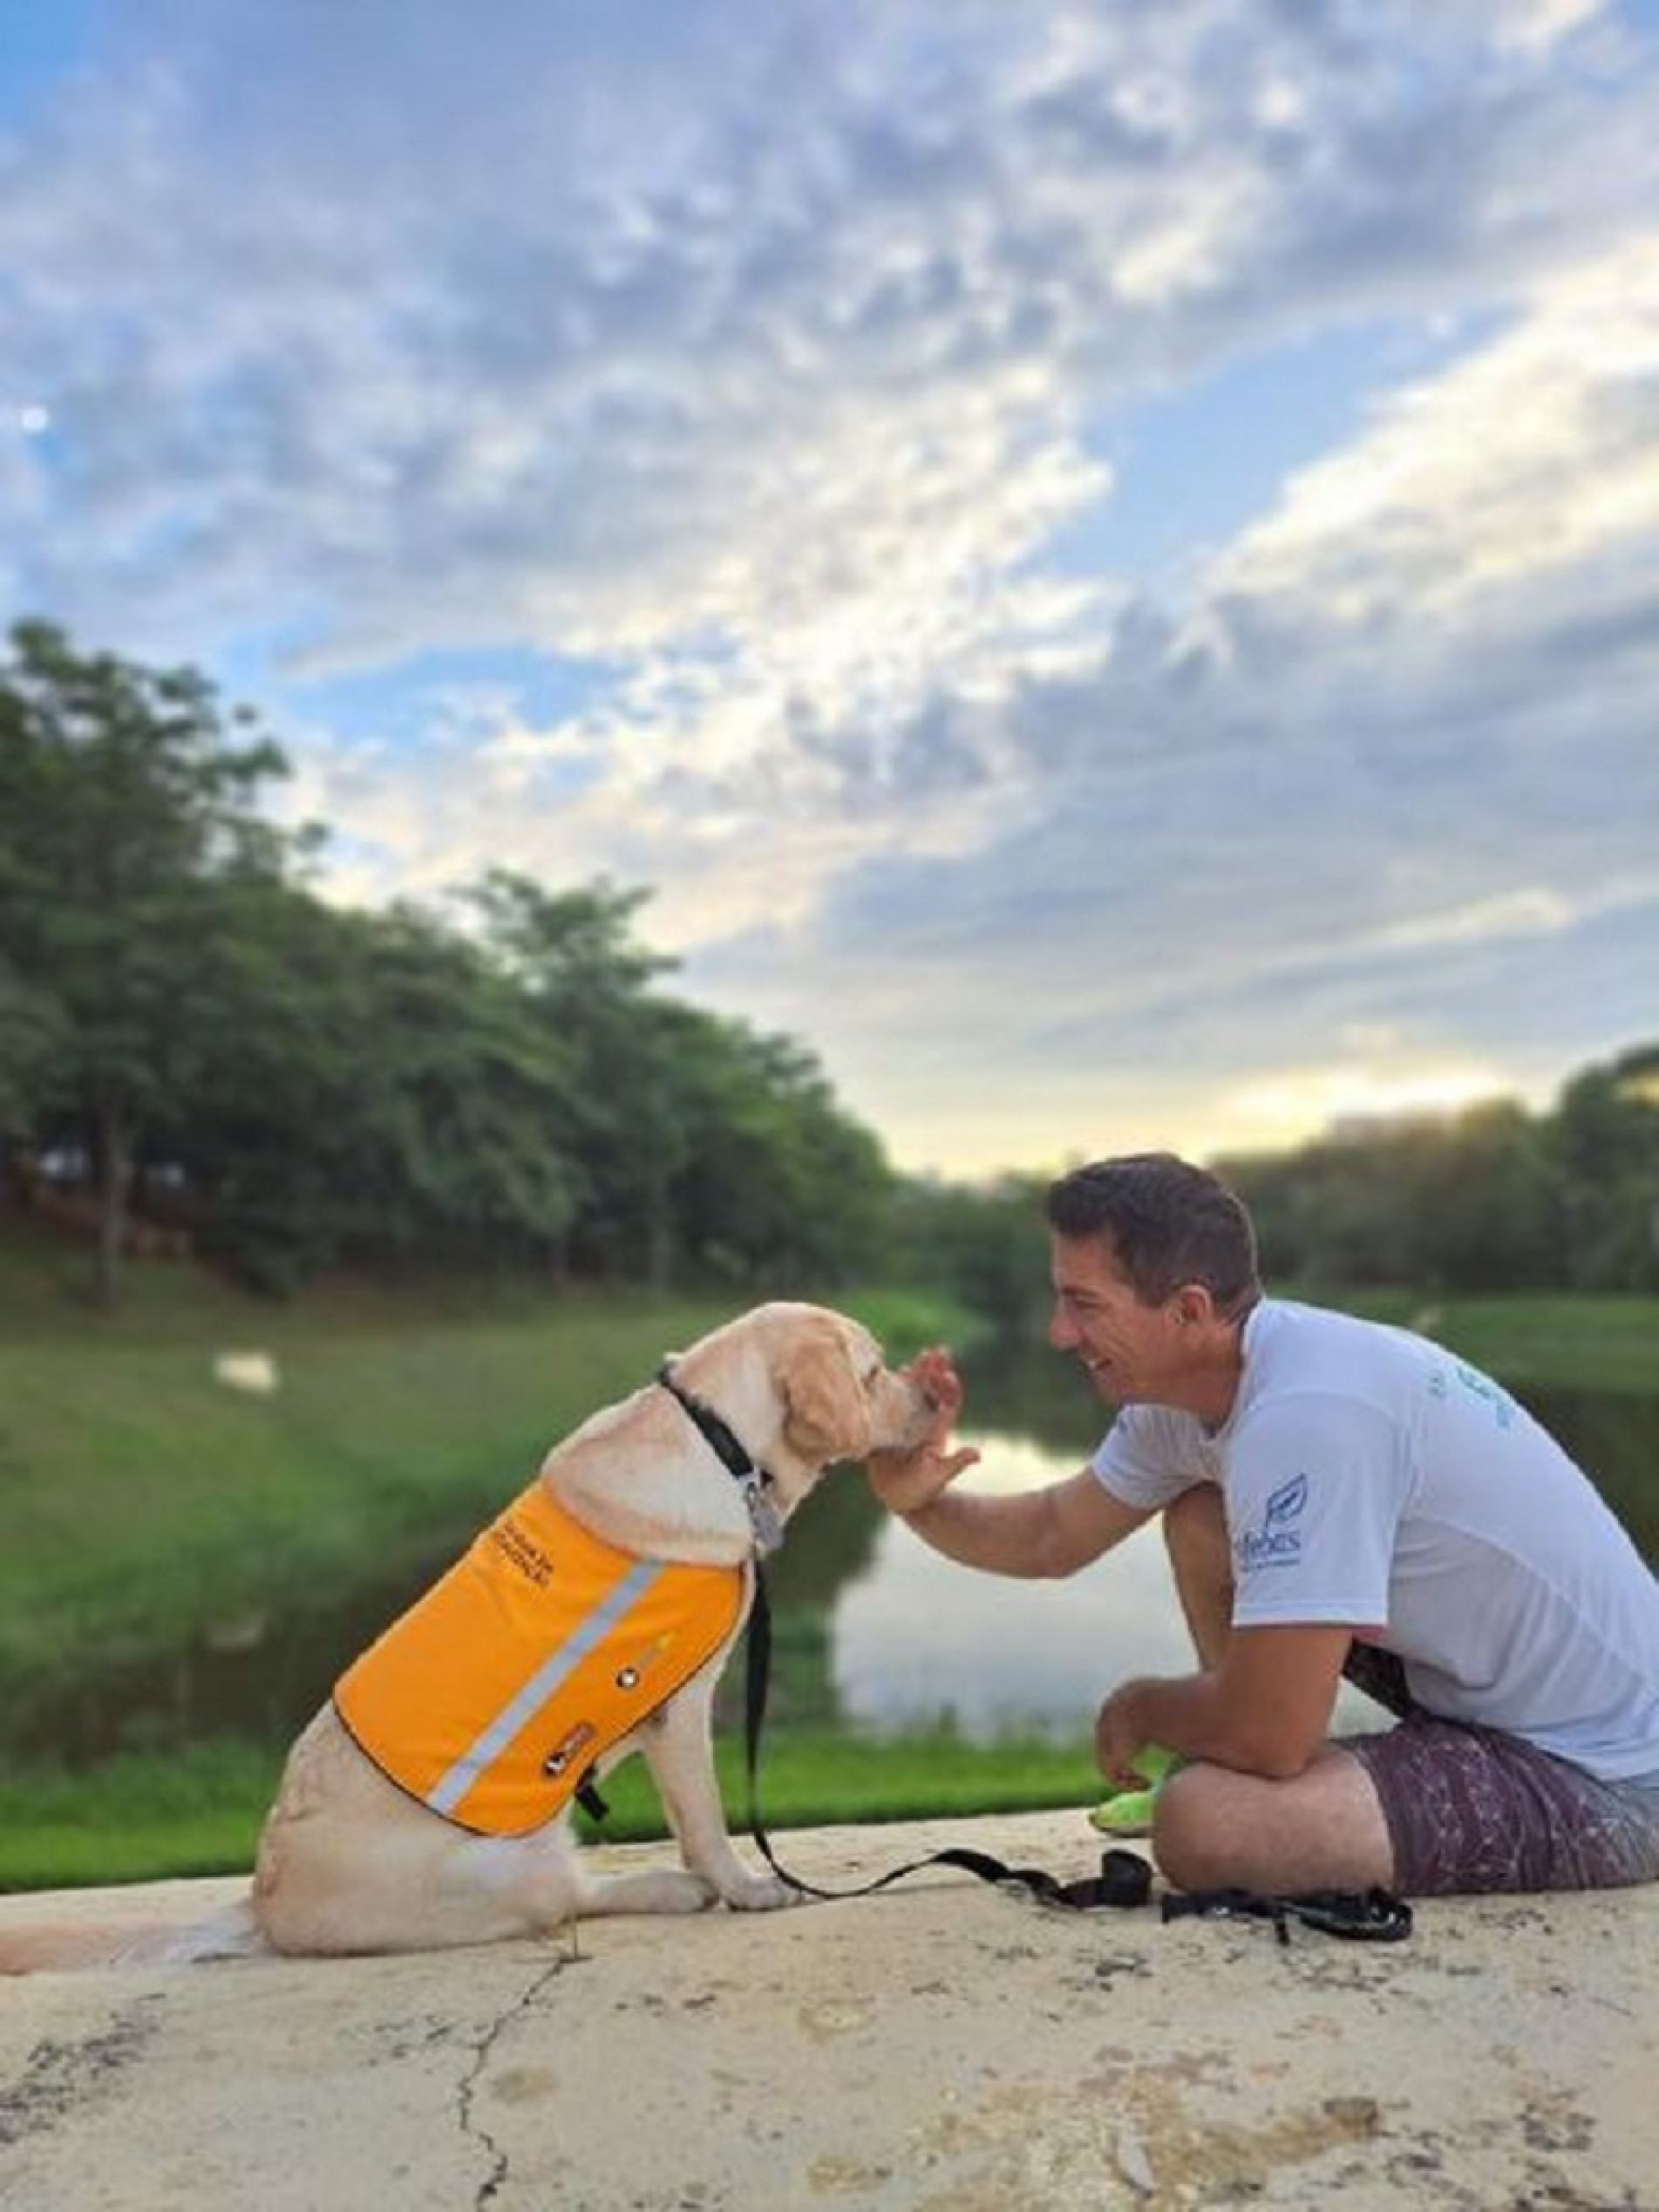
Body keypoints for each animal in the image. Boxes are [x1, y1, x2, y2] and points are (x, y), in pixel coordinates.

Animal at [0, 1291, 937, 1973]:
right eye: (873, 1369)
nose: (933, 1389)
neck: (720, 1441)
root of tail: (263, 1899)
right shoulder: (680, 1709)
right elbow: (705, 1819)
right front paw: (745, 1887)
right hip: (514, 1860)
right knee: (568, 1897)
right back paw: (673, 1889)